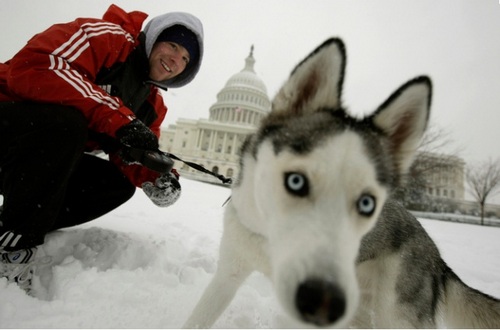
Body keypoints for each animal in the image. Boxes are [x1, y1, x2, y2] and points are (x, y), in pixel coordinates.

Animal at [184, 38, 500, 328]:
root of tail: (436, 255)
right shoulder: (229, 274)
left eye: (368, 203)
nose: (323, 303)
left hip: (396, 314)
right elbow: (197, 319)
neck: (267, 240)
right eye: (296, 181)